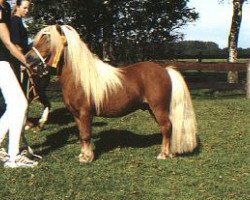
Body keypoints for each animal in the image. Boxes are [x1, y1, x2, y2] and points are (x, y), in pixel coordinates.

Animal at [25, 24, 197, 162]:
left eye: (47, 38)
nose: (28, 58)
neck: (78, 77)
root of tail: (165, 70)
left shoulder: (85, 113)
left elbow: (86, 135)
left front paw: (87, 158)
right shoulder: (76, 115)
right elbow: (81, 135)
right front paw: (83, 155)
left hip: (158, 108)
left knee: (167, 127)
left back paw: (163, 154)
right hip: (151, 109)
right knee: (168, 127)